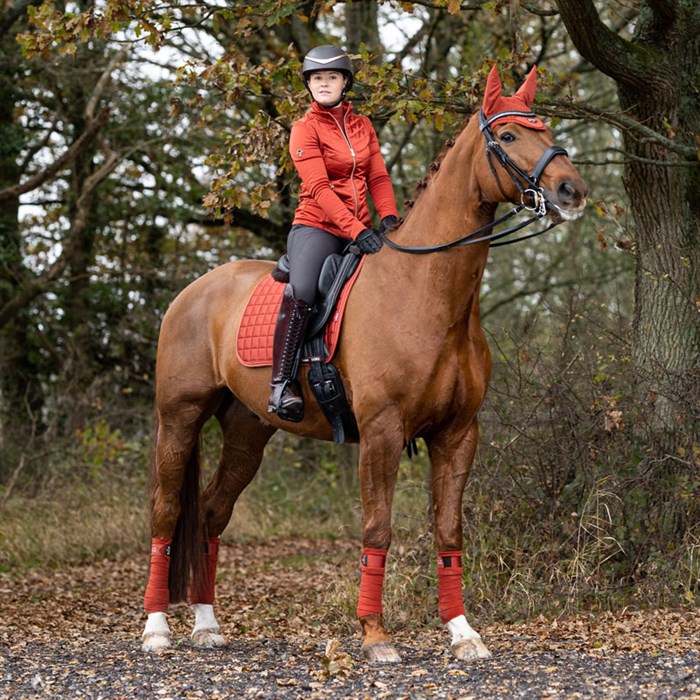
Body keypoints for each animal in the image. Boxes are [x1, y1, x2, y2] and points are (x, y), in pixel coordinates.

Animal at [141, 67, 584, 660]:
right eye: (509, 136)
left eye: (547, 128)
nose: (571, 191)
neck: (426, 292)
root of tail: (193, 291)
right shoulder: (381, 432)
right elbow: (377, 530)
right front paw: (376, 636)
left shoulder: (458, 434)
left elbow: (449, 532)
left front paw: (463, 632)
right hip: (179, 418)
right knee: (166, 512)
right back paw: (156, 629)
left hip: (247, 430)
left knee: (212, 511)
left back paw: (208, 625)